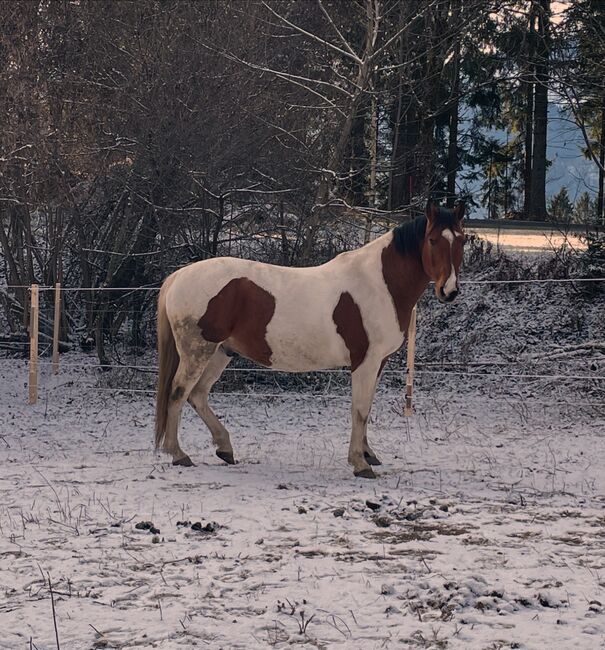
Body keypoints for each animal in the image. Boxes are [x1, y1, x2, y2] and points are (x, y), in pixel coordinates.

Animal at [153, 201, 464, 476]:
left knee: (197, 395)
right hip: (197, 351)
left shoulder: (378, 363)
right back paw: (178, 454)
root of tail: (180, 275)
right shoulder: (365, 361)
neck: (379, 284)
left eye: (461, 241)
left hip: (220, 352)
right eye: (433, 240)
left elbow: (367, 407)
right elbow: (360, 409)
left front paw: (368, 454)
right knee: (178, 392)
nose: (449, 292)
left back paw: (224, 448)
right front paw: (359, 463)